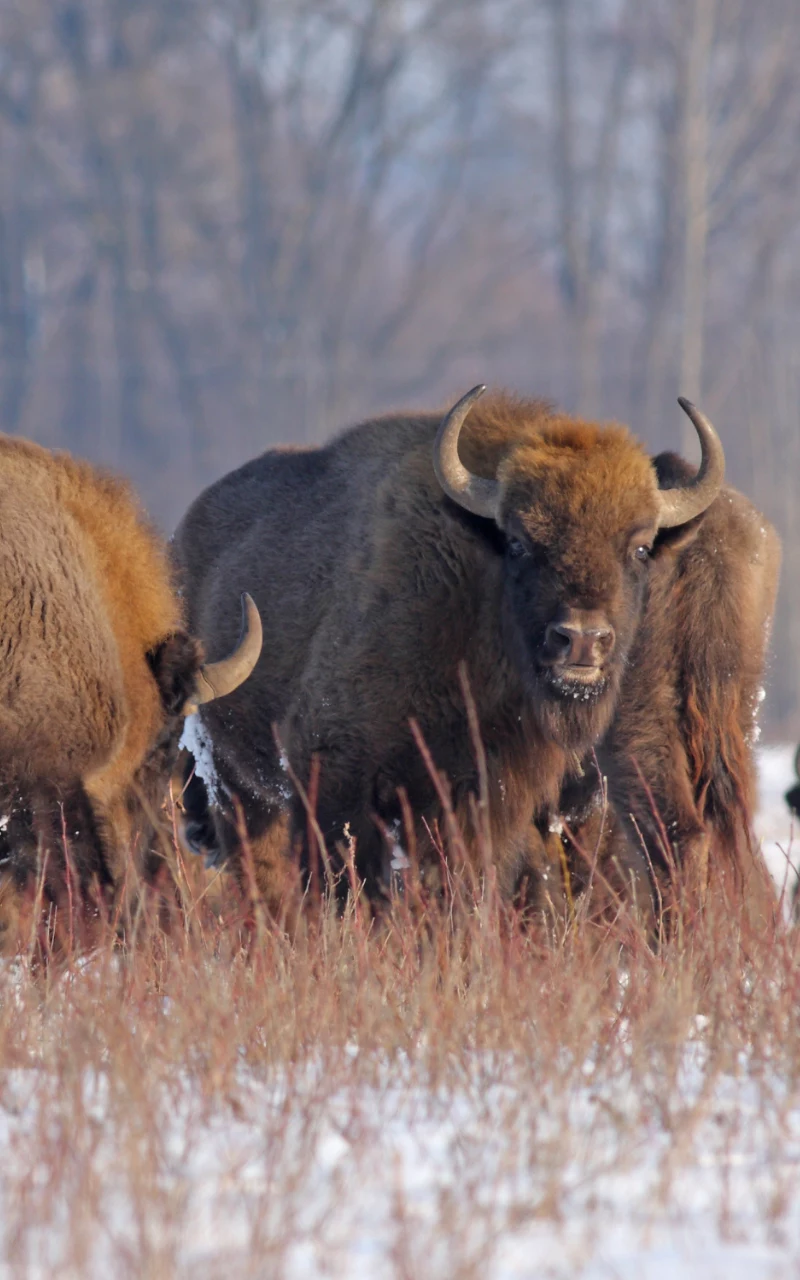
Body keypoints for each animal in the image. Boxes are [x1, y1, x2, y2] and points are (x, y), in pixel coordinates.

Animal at [170, 381, 721, 911]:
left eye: (641, 548)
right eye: (519, 542)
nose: (582, 640)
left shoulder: (480, 799)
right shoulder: (332, 773)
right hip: (234, 779)